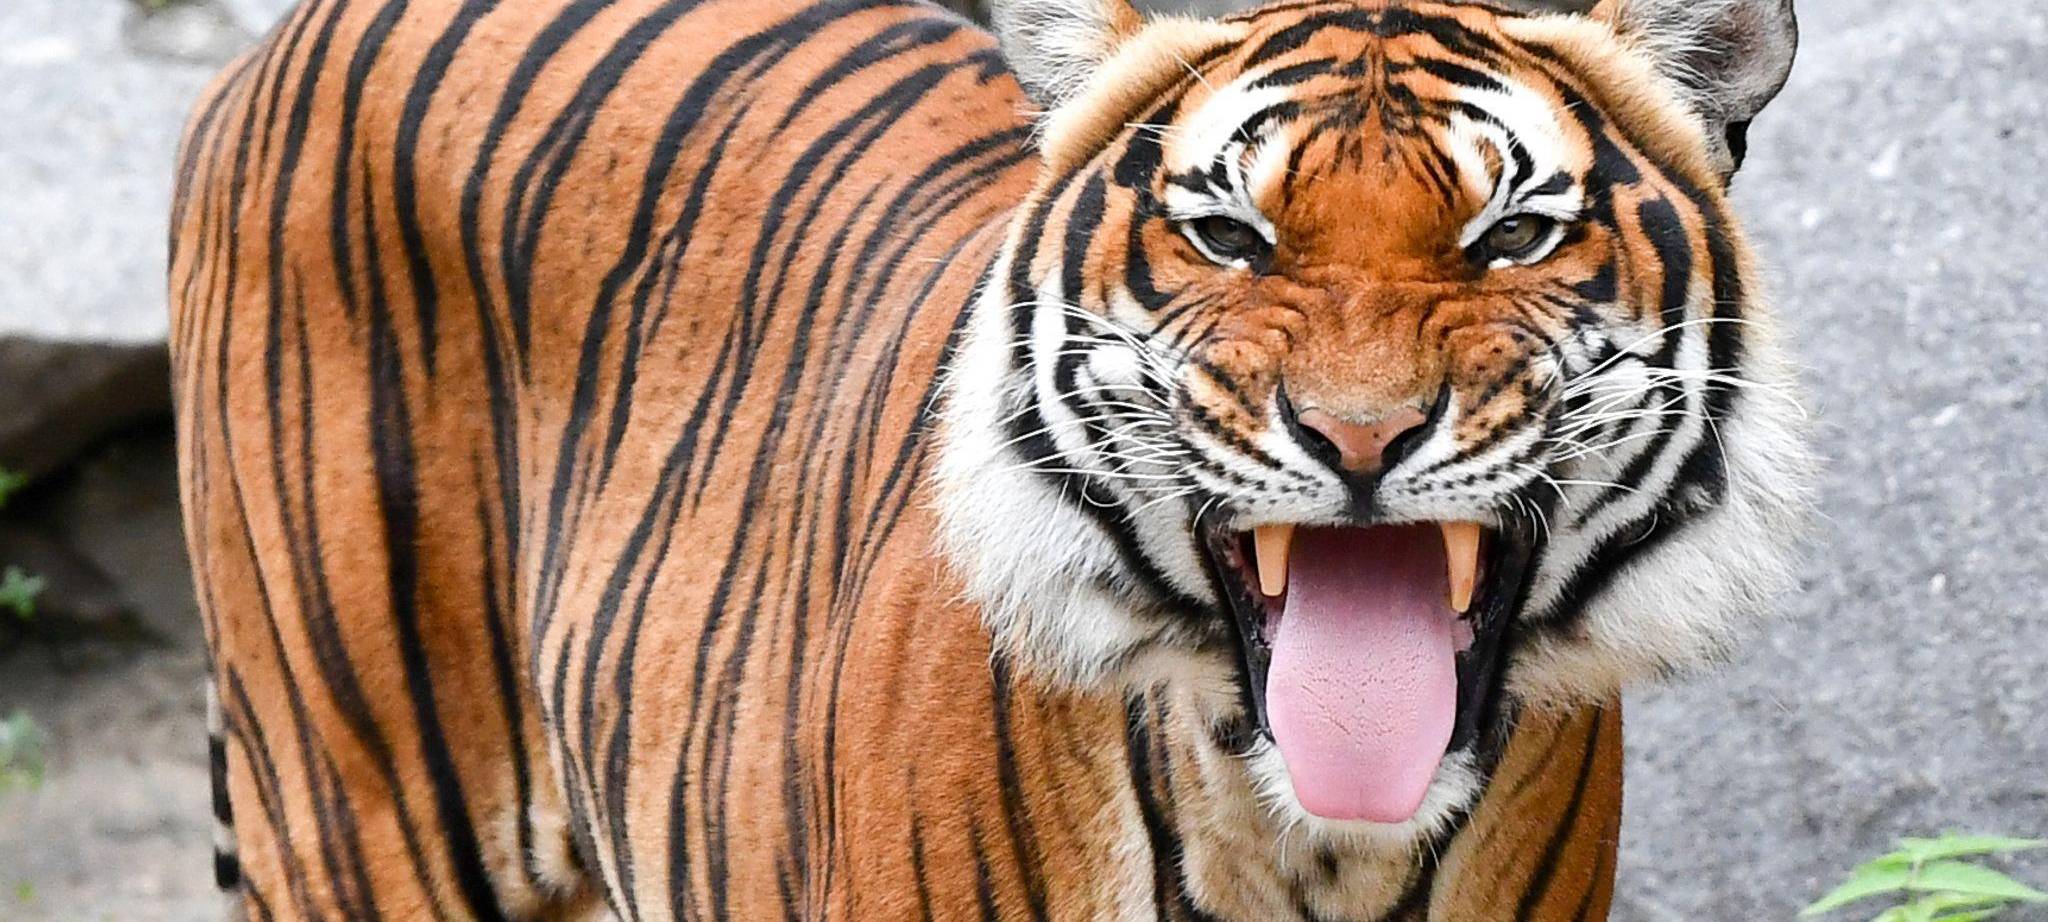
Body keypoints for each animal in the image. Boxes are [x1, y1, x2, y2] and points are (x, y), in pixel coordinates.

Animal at [167, 0, 1817, 917]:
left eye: (1515, 234)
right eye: (1228, 234)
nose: (1360, 435)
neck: (1314, 852)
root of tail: (269, 49)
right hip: (357, 801)